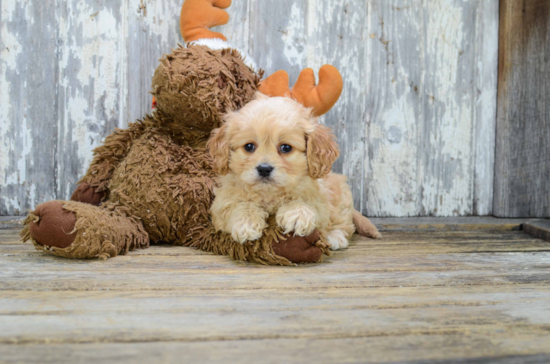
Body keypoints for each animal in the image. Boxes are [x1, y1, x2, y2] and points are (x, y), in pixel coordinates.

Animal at [205, 93, 382, 250]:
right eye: (249, 146)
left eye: (286, 148)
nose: (264, 169)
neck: (270, 194)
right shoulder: (220, 205)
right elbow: (238, 205)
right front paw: (246, 222)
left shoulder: (321, 201)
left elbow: (306, 203)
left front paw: (297, 215)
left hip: (341, 196)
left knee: (344, 223)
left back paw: (335, 237)